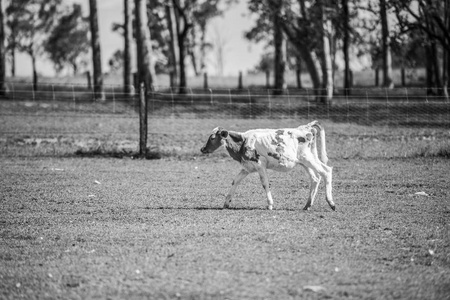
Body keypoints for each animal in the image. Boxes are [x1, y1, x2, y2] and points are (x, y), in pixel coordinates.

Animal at [200, 120, 334, 211]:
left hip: (307, 158)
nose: (203, 149)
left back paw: (331, 203)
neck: (243, 142)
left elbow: (265, 184)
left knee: (326, 171)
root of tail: (306, 128)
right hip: (305, 161)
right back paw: (307, 205)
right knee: (315, 178)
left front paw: (270, 204)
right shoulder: (247, 167)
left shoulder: (260, 165)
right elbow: (235, 181)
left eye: (212, 138)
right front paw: (226, 203)